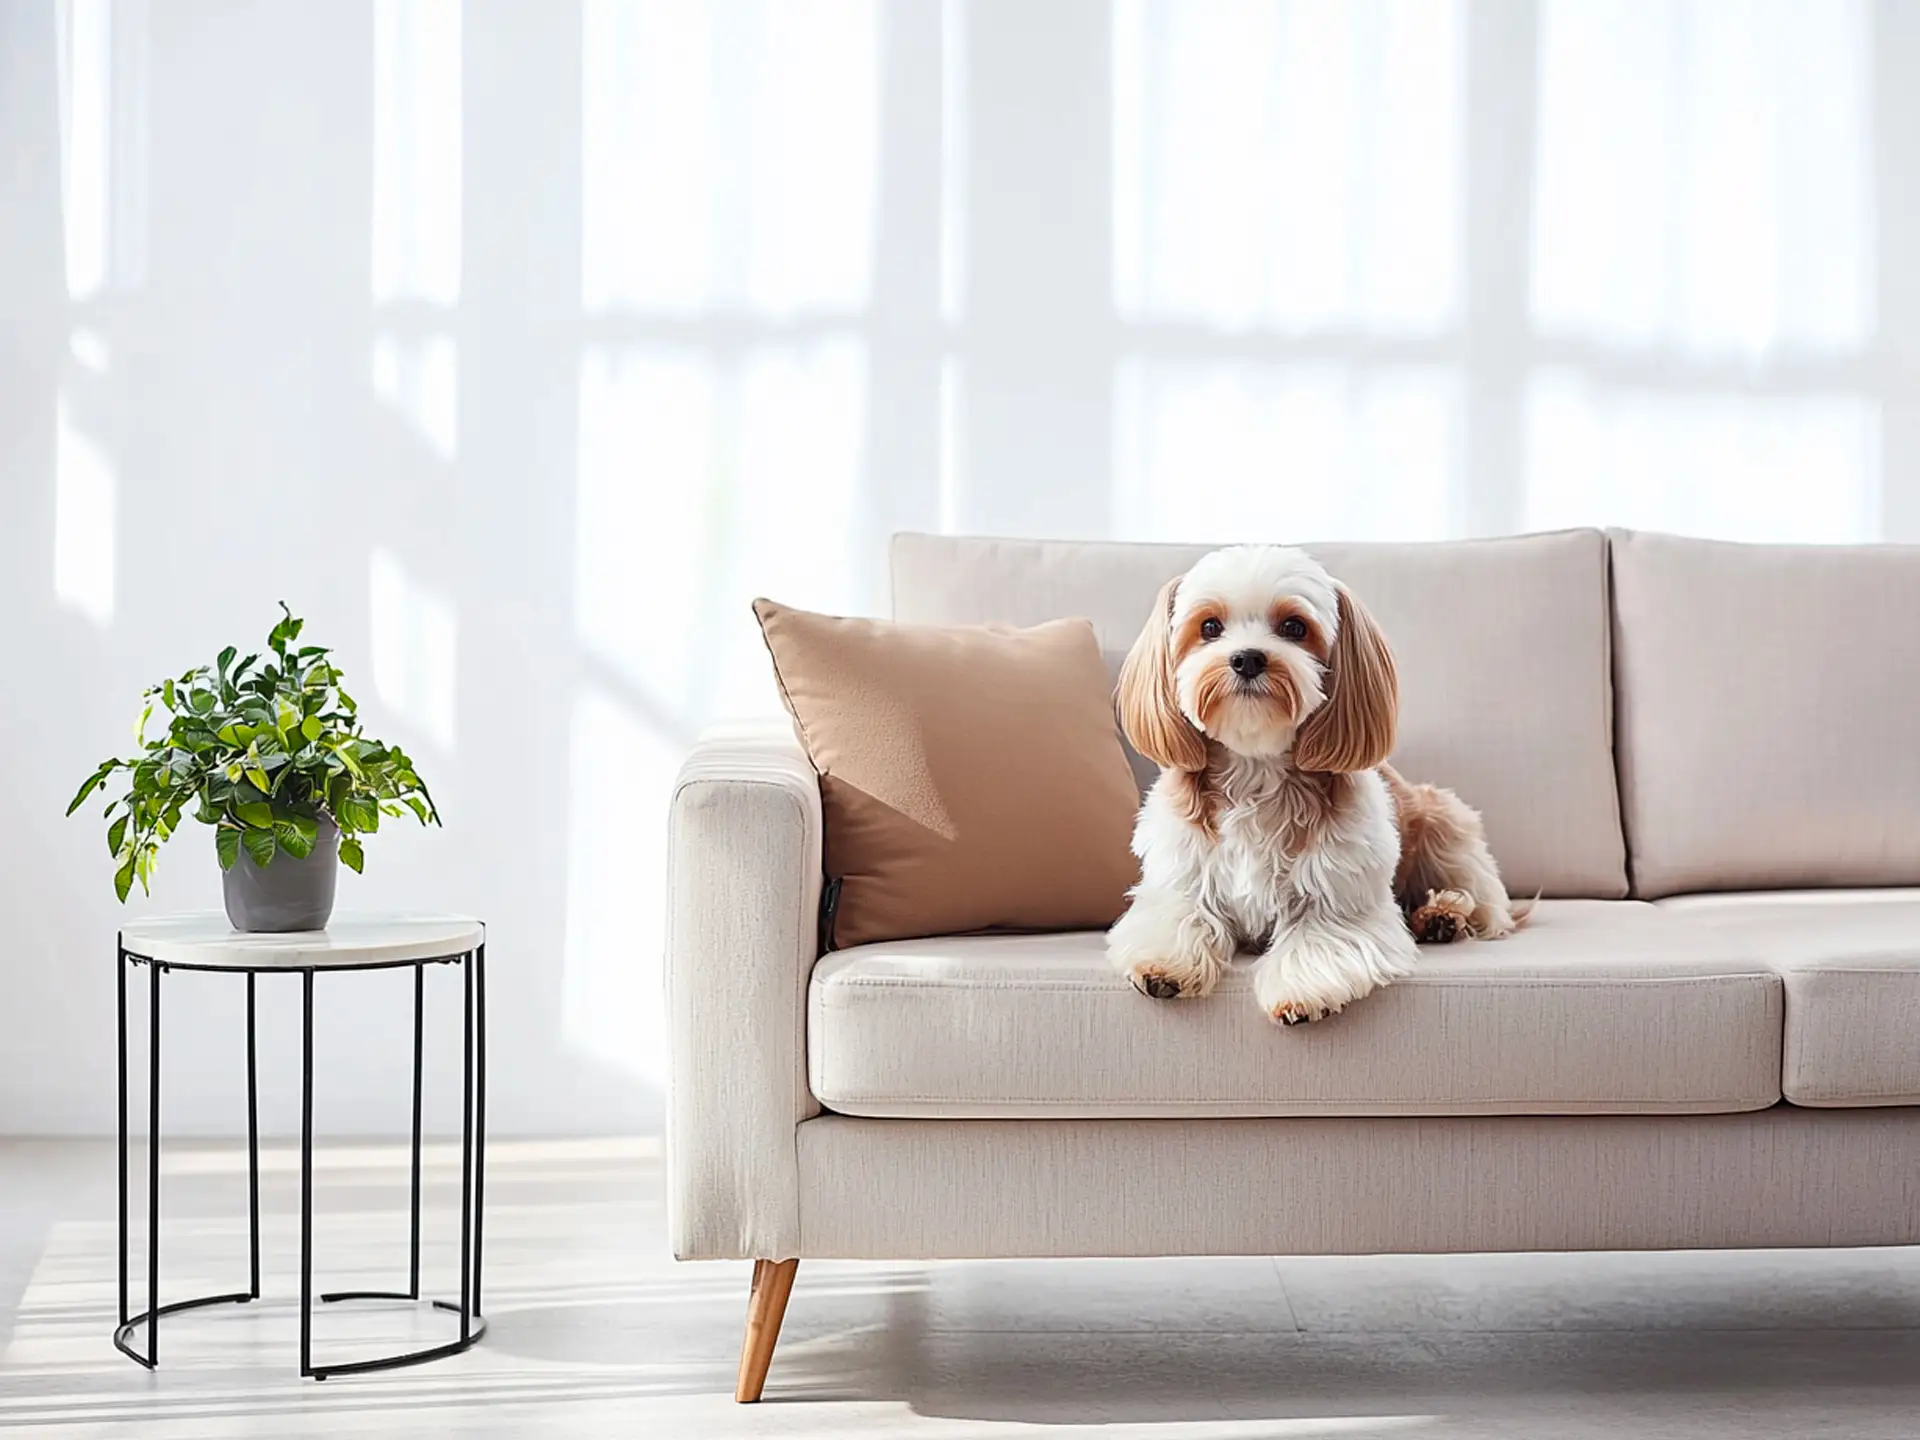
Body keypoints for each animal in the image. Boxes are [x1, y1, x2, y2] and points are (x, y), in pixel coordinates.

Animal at [1105, 541, 1520, 1029]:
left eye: (1293, 627)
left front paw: (1300, 993)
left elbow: (1320, 936)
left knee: (1486, 906)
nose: (1247, 658)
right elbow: (1181, 913)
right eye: (1209, 627)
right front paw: (1163, 967)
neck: (1256, 767)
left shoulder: (1340, 893)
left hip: (1444, 825)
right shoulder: (1181, 874)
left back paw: (1443, 916)